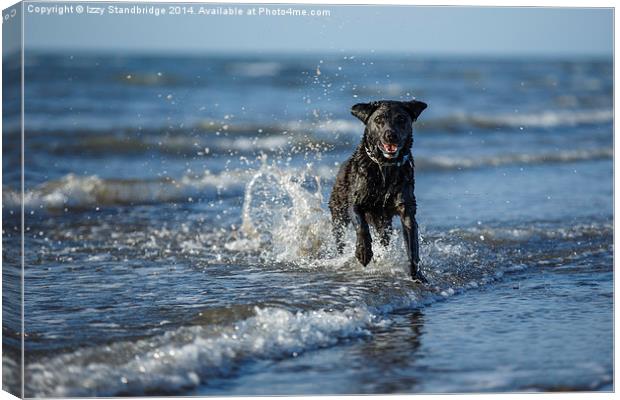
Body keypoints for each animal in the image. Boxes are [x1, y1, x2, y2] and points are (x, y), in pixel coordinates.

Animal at [326, 99, 428, 282]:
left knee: (384, 238)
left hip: (384, 223)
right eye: (379, 119)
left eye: (401, 119)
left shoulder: (407, 209)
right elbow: (361, 226)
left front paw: (417, 275)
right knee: (339, 237)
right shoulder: (356, 202)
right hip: (338, 213)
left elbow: (412, 244)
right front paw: (363, 253)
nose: (390, 135)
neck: (385, 167)